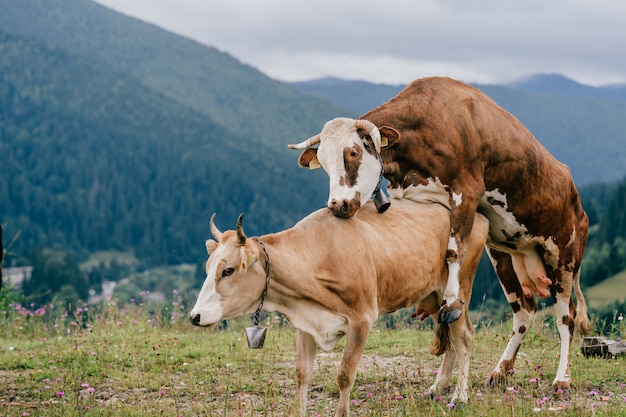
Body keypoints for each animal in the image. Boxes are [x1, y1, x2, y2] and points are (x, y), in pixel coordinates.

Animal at [189, 199, 488, 416]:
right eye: (208, 267)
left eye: (228, 270)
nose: (195, 316)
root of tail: (477, 216)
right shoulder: (305, 324)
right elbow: (302, 374)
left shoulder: (362, 320)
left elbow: (345, 376)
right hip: (436, 299)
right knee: (453, 340)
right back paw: (435, 390)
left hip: (457, 291)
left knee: (464, 339)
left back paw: (459, 397)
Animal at [288, 75, 588, 394]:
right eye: (323, 162)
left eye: (353, 152)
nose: (337, 205)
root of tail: (576, 196)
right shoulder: (416, 199)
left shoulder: (466, 192)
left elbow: (453, 250)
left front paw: (451, 299)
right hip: (503, 253)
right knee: (525, 310)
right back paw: (500, 370)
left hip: (563, 255)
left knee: (565, 316)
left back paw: (562, 378)